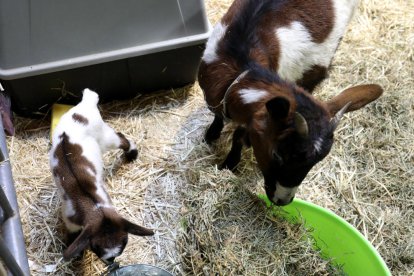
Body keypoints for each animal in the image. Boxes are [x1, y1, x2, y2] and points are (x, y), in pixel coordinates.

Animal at [49, 89, 154, 264]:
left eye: (124, 241)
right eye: (96, 247)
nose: (111, 259)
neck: (94, 205)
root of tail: (86, 103)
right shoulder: (70, 219)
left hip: (105, 137)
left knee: (120, 139)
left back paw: (132, 153)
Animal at [199, 0, 384, 205]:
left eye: (316, 163)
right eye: (277, 155)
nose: (283, 200)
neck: (243, 64)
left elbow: (238, 135)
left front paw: (228, 164)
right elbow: (217, 116)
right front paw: (211, 136)